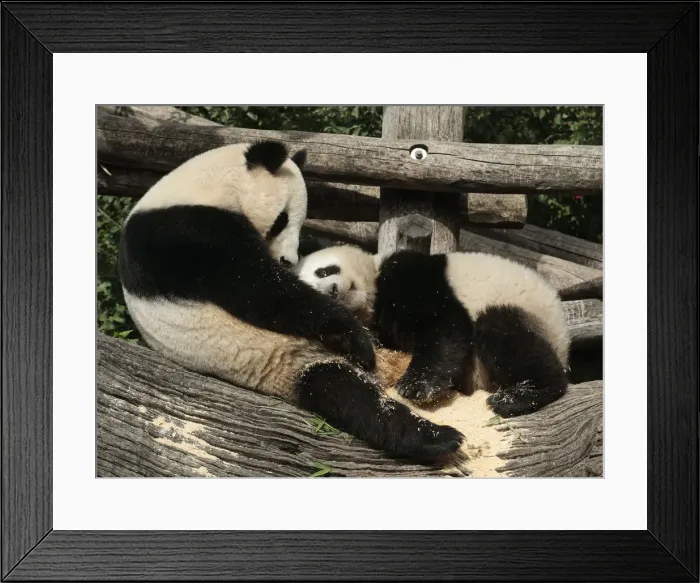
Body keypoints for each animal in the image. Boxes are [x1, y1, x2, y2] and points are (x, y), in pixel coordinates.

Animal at [118, 140, 464, 461]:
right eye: (282, 219)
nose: (288, 260)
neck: (201, 186)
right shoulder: (186, 234)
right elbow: (261, 291)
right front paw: (356, 338)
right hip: (284, 363)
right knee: (347, 395)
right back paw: (437, 438)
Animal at [294, 244, 570, 417]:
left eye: (324, 271)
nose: (333, 291)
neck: (371, 298)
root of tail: (564, 344)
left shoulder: (409, 272)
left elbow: (442, 323)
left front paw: (416, 386)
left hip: (532, 314)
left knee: (502, 330)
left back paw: (520, 395)